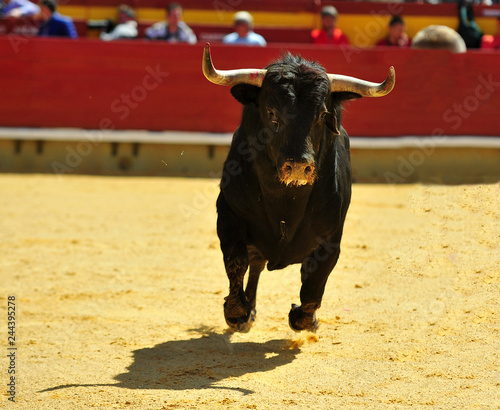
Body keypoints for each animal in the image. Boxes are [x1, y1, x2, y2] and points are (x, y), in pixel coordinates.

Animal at [202, 44, 394, 334]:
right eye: (271, 113)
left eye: (322, 115)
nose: (298, 166)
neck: (286, 200)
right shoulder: (229, 214)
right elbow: (237, 262)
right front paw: (237, 313)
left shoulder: (330, 239)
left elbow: (314, 283)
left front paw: (305, 318)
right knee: (255, 264)